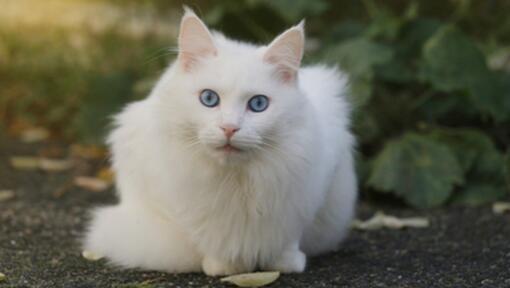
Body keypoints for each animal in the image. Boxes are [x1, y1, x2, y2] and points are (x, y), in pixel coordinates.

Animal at [83, 7, 356, 276]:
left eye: (258, 104)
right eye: (209, 99)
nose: (229, 128)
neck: (236, 182)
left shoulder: (309, 192)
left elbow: (288, 238)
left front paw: (285, 264)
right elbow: (206, 238)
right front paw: (224, 267)